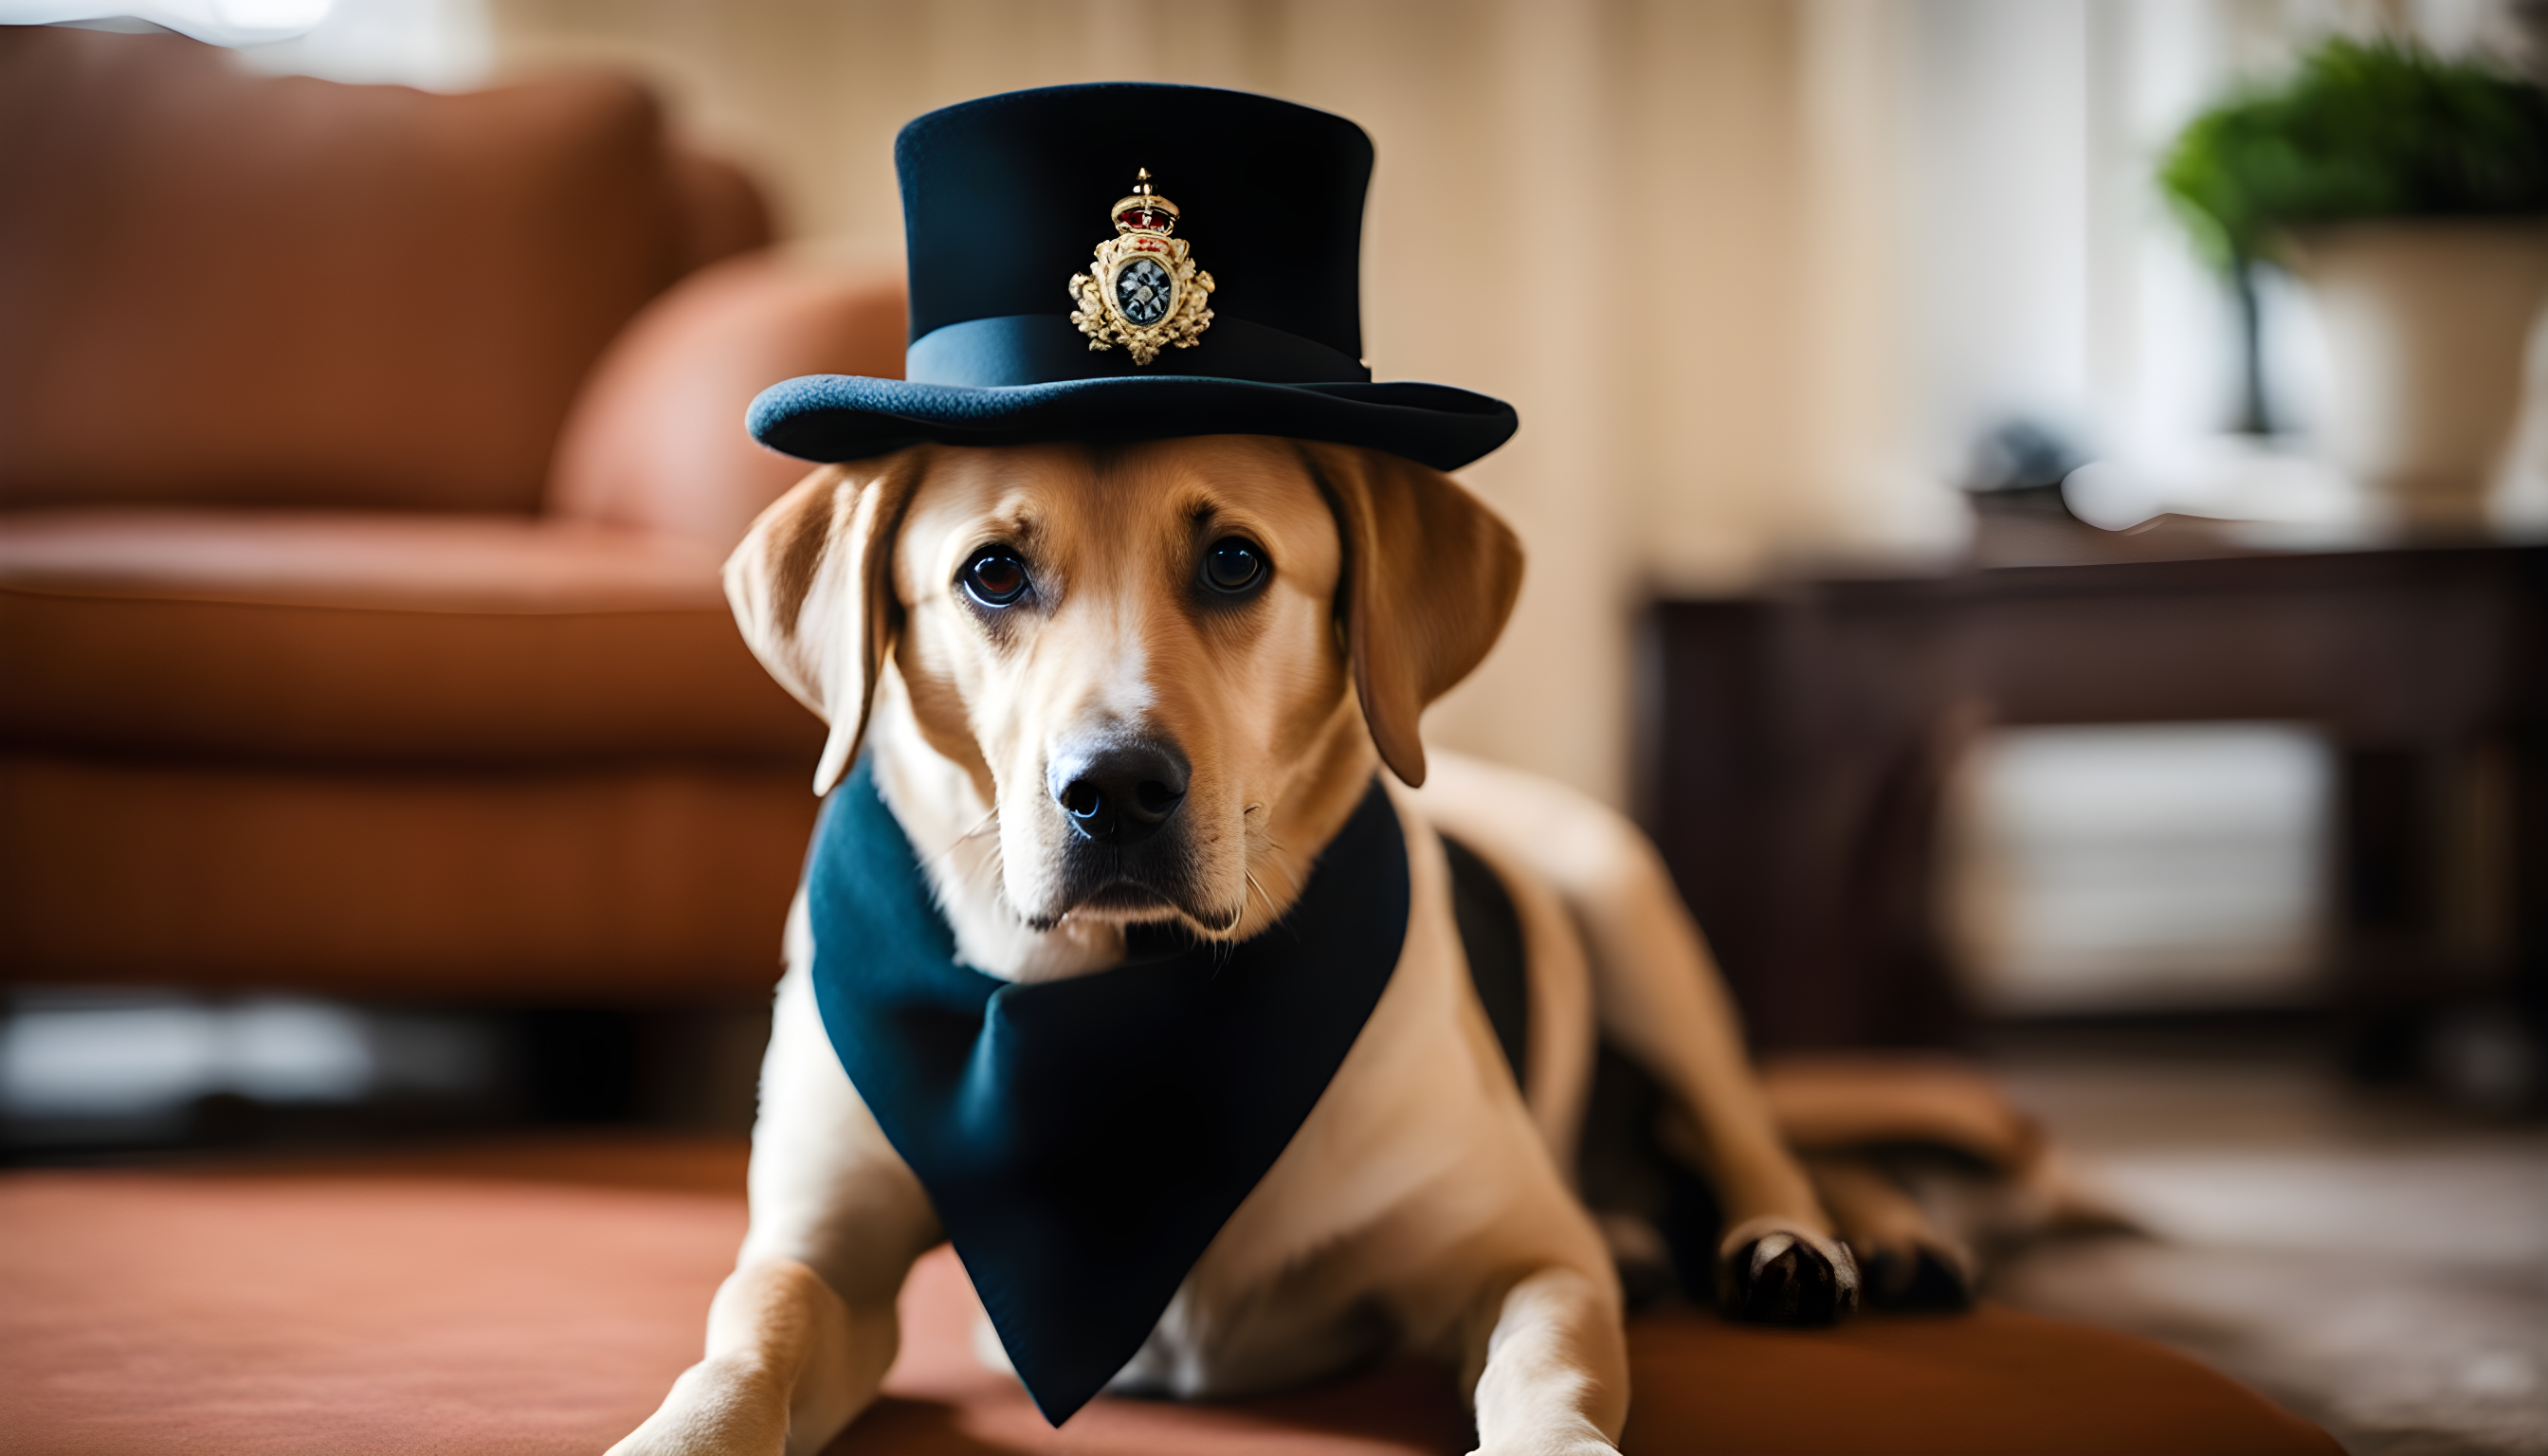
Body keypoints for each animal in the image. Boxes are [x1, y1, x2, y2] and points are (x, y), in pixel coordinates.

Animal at [621, 435, 2008, 1456]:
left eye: (1235, 562)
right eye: (992, 574)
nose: (1116, 790)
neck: (1115, 995)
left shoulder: (1527, 1257)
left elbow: (1547, 1377)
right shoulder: (819, 1257)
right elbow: (744, 1348)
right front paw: (680, 1430)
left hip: (1630, 905)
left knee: (1751, 1135)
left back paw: (1809, 1240)